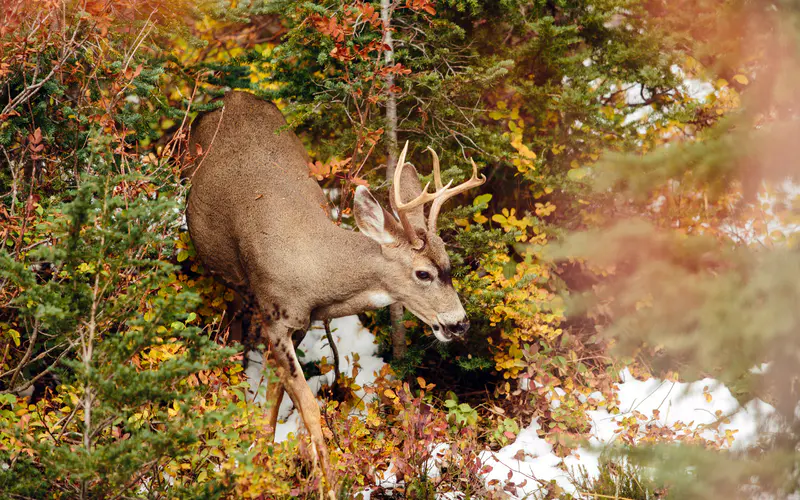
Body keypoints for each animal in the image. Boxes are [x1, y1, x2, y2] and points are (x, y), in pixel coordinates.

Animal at [187, 91, 484, 496]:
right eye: (422, 273)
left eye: (450, 265)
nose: (460, 323)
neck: (316, 275)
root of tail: (232, 95)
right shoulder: (275, 316)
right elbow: (310, 410)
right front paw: (328, 487)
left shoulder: (296, 326)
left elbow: (274, 399)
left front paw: (262, 464)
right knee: (229, 327)